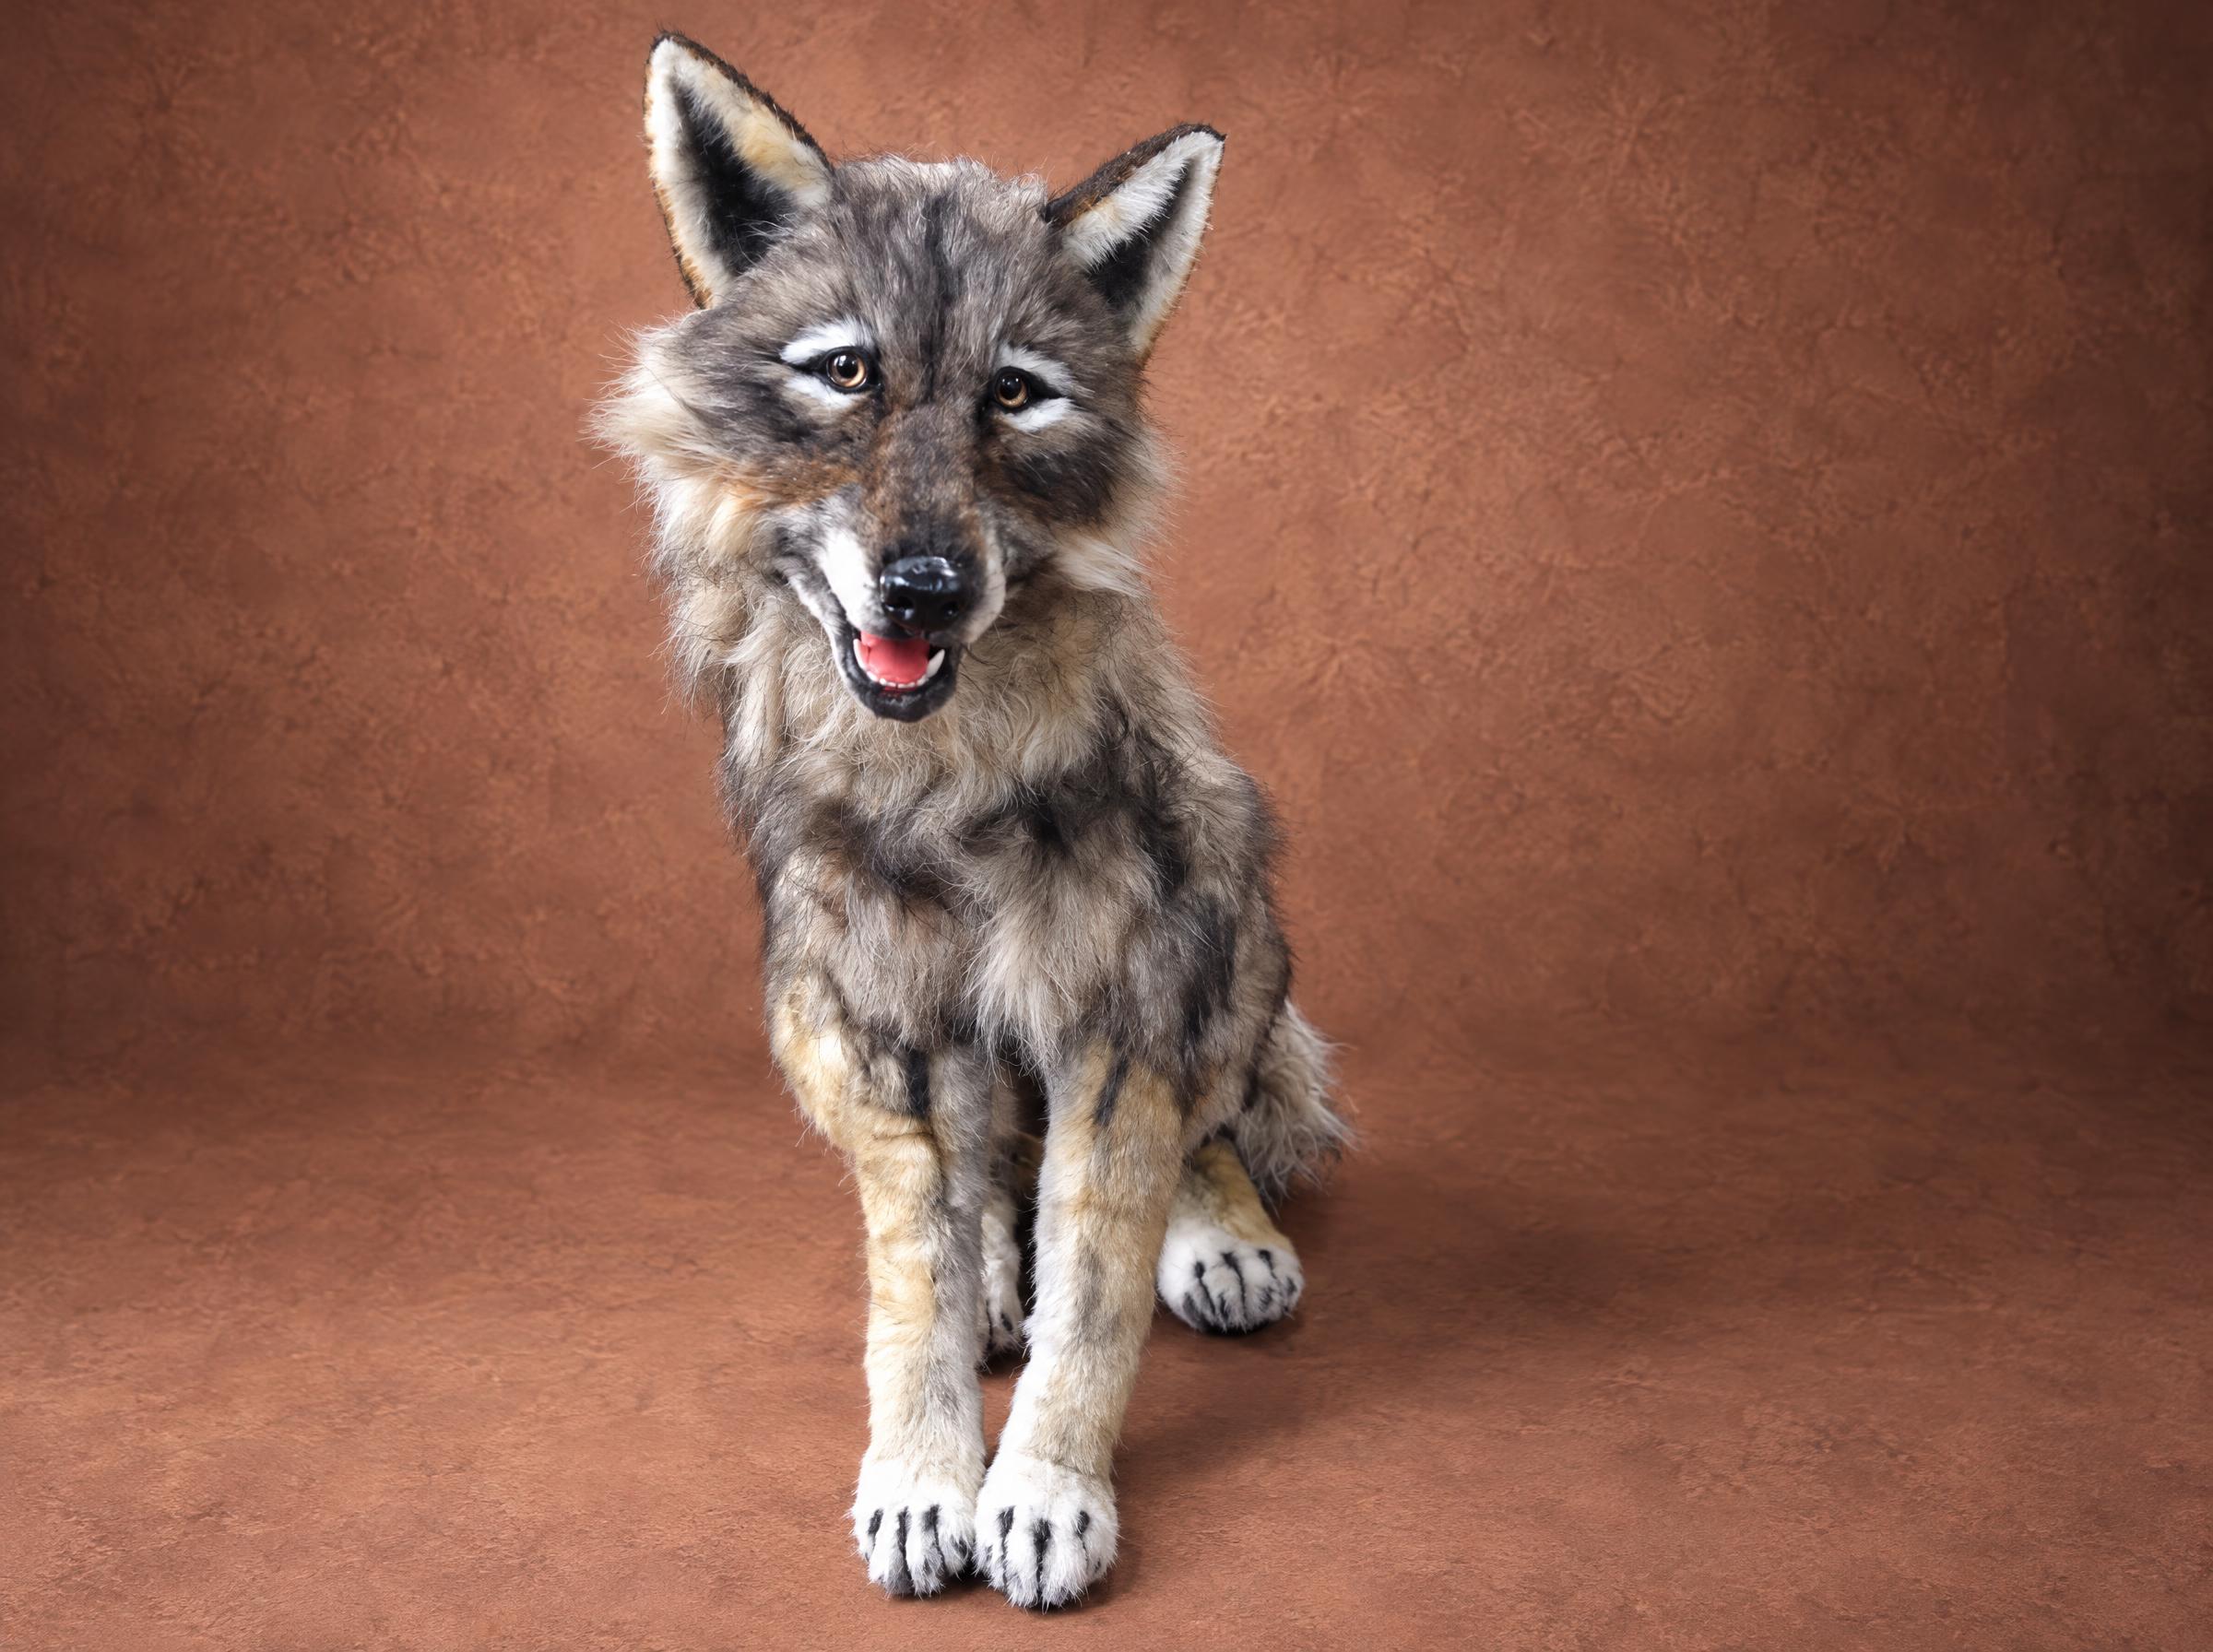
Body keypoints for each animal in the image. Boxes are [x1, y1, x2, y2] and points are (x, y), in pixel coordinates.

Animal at [597, 33, 1349, 1609]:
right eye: (846, 373)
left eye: (1015, 395)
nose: (929, 590)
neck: (946, 779)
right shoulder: (882, 1023)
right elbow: (916, 1283)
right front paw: (923, 1473)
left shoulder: (1121, 1013)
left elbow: (1099, 1293)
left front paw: (1049, 1490)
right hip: (806, 1011)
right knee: (982, 1185)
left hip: (1233, 897)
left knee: (1197, 1131)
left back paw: (1220, 1235)